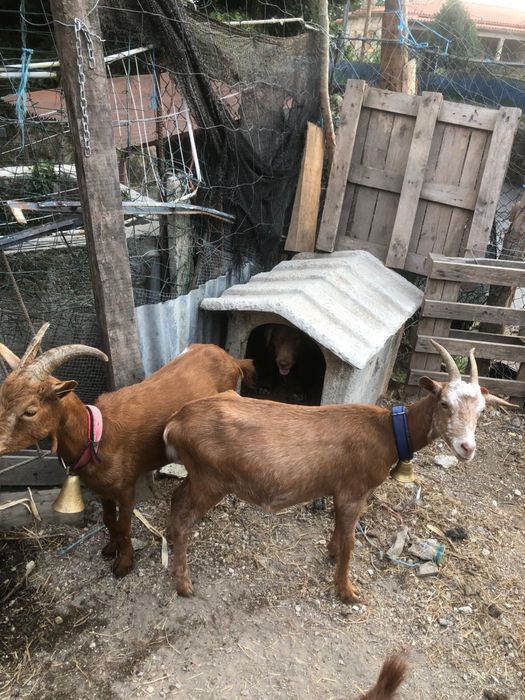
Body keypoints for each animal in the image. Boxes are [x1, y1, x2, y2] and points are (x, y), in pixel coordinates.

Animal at [0, 324, 255, 577]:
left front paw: (124, 563)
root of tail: (233, 360)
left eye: (30, 411)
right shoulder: (101, 490)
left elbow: (123, 525)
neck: (95, 436)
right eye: (2, 397)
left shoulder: (125, 488)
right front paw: (110, 549)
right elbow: (108, 520)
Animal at [163, 340, 515, 602]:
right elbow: (350, 542)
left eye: (481, 411)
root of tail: (175, 422)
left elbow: (339, 532)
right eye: (444, 403)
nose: (466, 448)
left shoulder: (341, 489)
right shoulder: (353, 491)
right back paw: (184, 584)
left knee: (176, 499)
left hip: (199, 476)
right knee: (184, 517)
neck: (387, 432)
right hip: (211, 479)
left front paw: (331, 555)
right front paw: (347, 591)